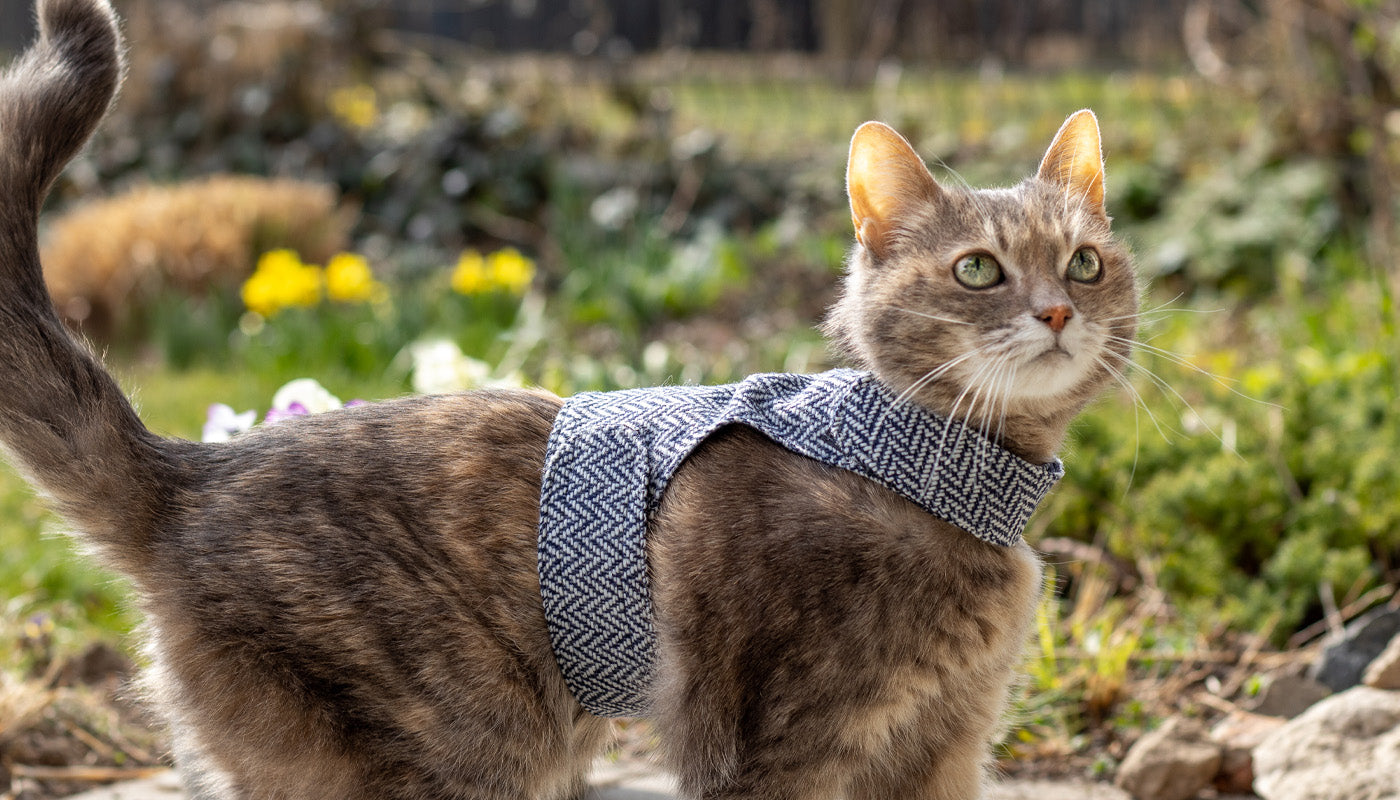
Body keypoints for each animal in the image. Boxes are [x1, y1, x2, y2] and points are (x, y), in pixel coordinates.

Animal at [0, 1, 1138, 798]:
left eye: (1083, 262)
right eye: (978, 271)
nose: (1053, 310)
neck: (923, 473)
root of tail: (194, 469)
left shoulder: (942, 746)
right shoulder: (773, 747)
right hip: (461, 740)